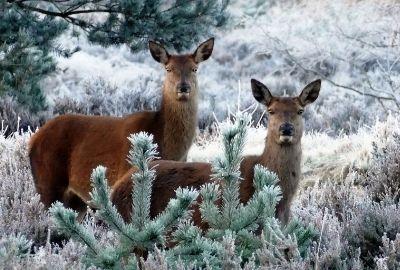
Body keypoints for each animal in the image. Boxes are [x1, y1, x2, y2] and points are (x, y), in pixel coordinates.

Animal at [30, 37, 216, 213]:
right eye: (168, 69)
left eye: (194, 69)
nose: (183, 87)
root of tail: (33, 139)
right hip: (47, 182)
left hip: (76, 201)